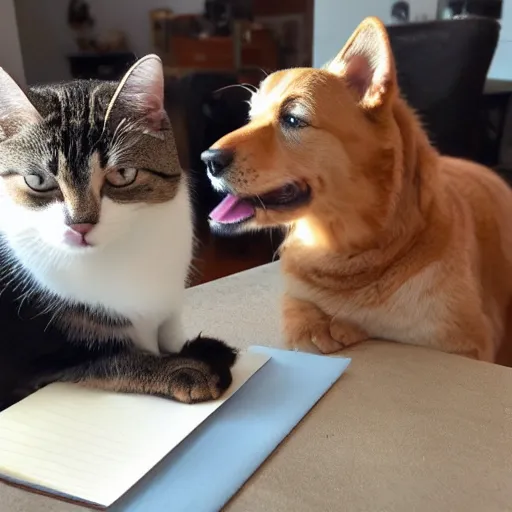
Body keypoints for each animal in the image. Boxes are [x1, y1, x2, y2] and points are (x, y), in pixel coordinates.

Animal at [0, 54, 236, 410]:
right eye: (38, 181)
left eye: (122, 174)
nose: (80, 224)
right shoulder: (41, 363)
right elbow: (114, 360)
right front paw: (187, 368)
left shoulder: (168, 312)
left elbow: (169, 335)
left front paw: (202, 349)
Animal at [202, 18, 512, 362]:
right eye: (250, 117)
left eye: (293, 119)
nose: (207, 160)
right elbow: (297, 313)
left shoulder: (467, 342)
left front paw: (345, 325)